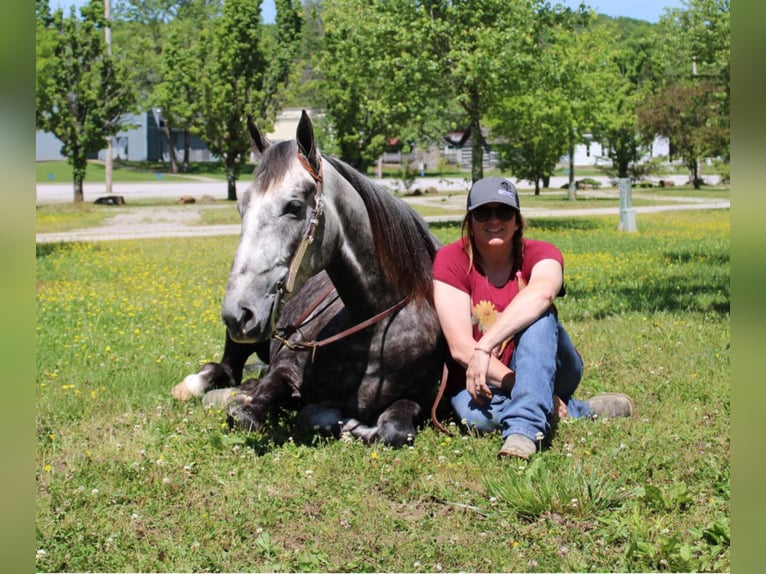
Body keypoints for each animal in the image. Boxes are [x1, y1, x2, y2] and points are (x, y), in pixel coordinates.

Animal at [168, 110, 444, 448]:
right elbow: (256, 412)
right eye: (241, 207)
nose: (239, 314)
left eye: (294, 207)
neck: (376, 322)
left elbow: (396, 430)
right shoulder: (284, 368)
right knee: (224, 369)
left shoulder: (416, 397)